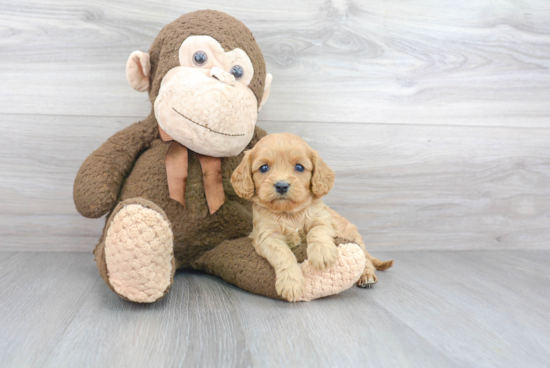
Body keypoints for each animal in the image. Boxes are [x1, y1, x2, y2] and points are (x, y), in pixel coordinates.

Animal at [231, 134, 394, 300]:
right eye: (264, 168)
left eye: (299, 167)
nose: (282, 186)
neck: (289, 213)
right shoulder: (267, 236)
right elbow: (283, 253)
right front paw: (291, 282)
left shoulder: (322, 219)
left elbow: (317, 232)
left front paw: (322, 254)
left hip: (354, 238)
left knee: (367, 261)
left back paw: (366, 276)